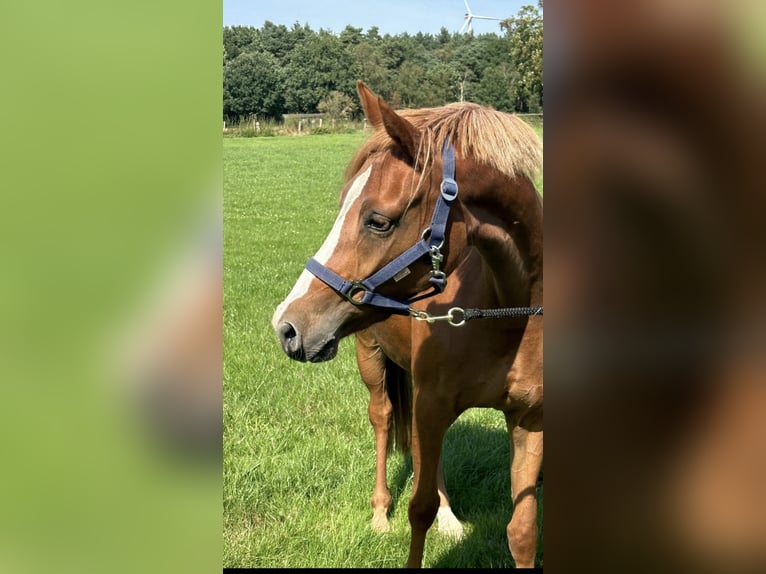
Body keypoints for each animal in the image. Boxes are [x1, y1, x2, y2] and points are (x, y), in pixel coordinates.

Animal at [272, 82, 544, 572]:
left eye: (377, 221)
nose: (287, 325)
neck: (507, 313)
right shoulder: (432, 403)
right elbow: (419, 510)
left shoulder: (529, 420)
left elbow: (522, 530)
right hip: (372, 361)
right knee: (382, 420)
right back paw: (381, 513)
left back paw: (451, 518)